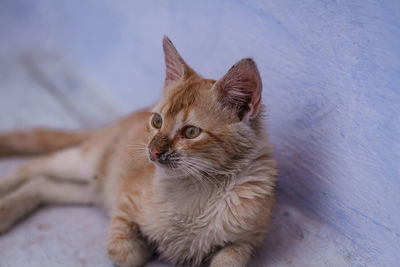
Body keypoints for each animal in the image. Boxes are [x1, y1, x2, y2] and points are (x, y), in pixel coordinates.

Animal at [0, 37, 276, 267]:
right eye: (157, 121)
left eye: (190, 132)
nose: (153, 151)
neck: (197, 188)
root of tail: (112, 124)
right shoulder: (123, 200)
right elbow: (125, 253)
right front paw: (151, 247)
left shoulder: (245, 241)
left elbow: (228, 261)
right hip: (81, 164)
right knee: (33, 167)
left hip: (86, 190)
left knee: (41, 185)